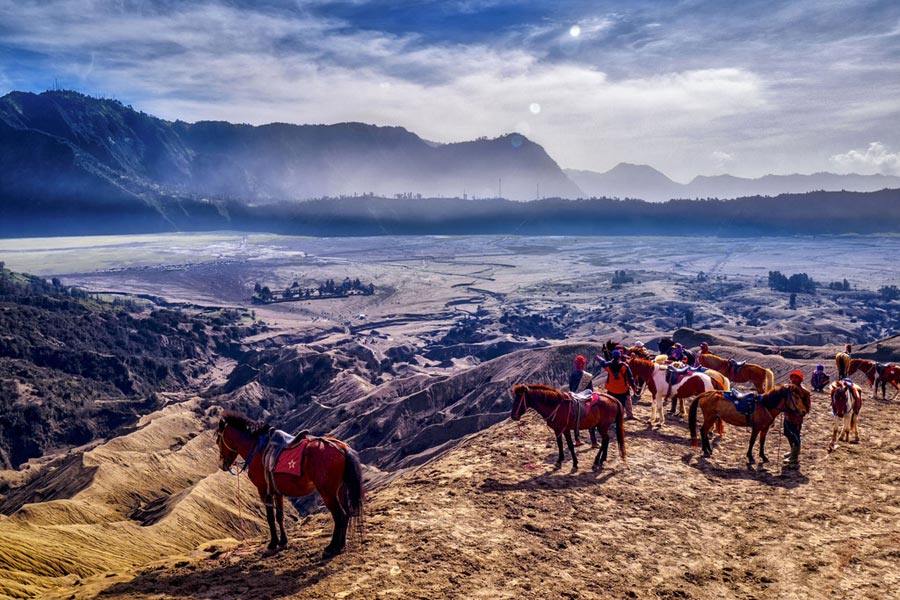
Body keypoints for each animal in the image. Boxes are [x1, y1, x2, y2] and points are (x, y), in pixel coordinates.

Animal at [216, 412, 364, 556]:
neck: (257, 450)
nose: (222, 464)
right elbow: (279, 516)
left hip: (328, 493)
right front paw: (283, 542)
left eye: (218, 441)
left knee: (339, 515)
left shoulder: (264, 490)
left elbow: (270, 517)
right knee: (346, 514)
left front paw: (272, 544)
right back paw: (341, 544)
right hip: (341, 490)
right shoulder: (277, 492)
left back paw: (331, 546)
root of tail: (342, 448)